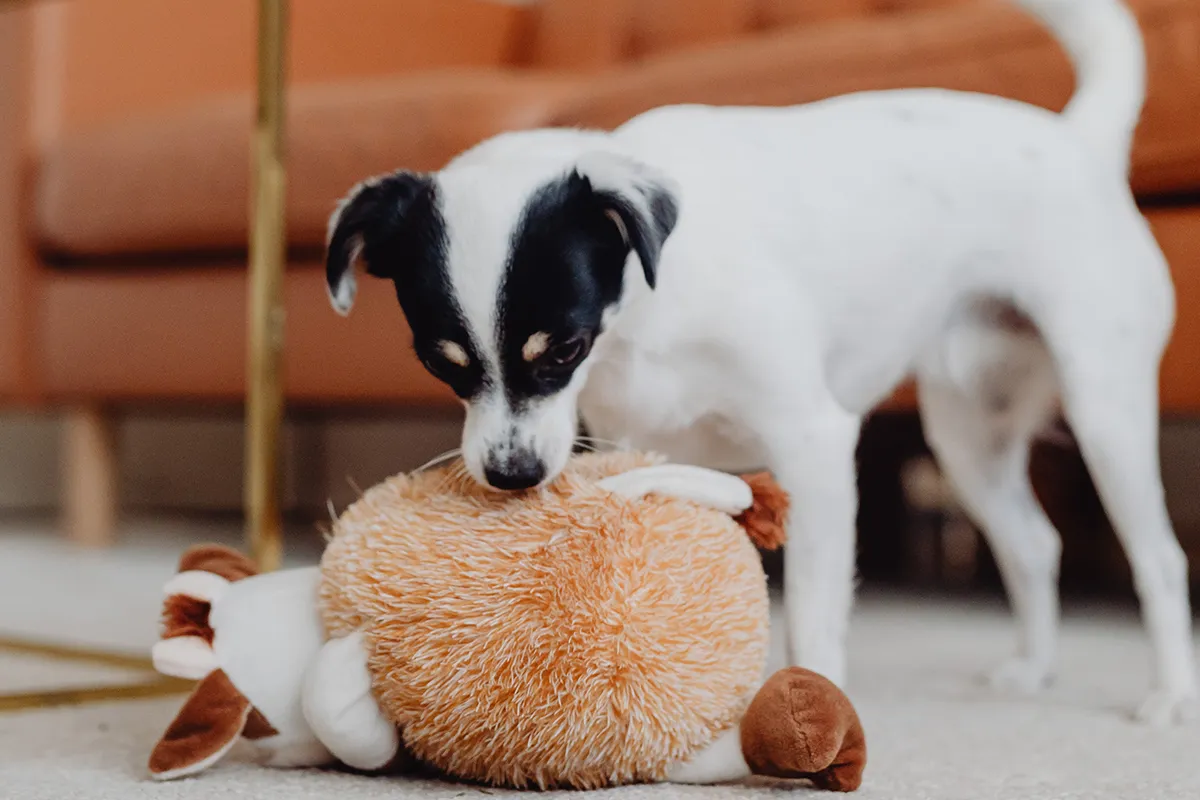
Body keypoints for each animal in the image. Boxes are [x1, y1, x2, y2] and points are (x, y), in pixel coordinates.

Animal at [324, 0, 1195, 724]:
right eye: (443, 364)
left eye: (564, 348)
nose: (511, 475)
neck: (648, 309)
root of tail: (1080, 142)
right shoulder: (644, 446)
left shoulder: (813, 444)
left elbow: (812, 610)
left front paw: (812, 700)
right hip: (969, 437)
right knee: (1033, 544)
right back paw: (1035, 671)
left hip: (1104, 412)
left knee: (1158, 557)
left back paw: (1167, 697)